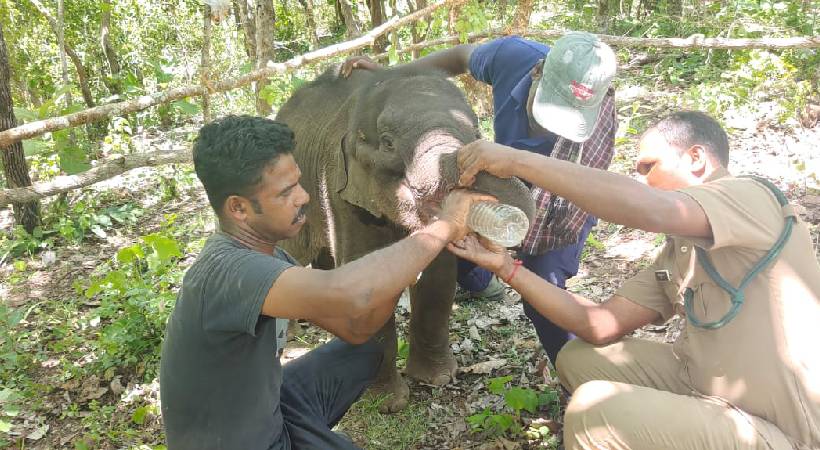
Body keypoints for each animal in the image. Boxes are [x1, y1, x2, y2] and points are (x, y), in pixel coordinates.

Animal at [276, 65, 536, 414]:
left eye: (475, 131)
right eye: (387, 144)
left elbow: (438, 278)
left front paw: (437, 379)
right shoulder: (341, 191)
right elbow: (366, 284)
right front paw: (386, 403)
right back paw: (290, 337)